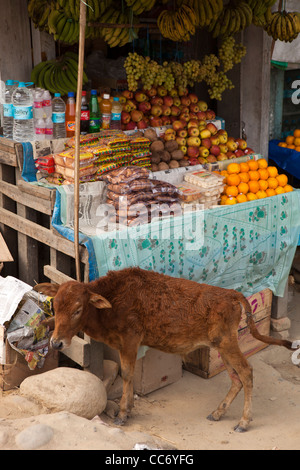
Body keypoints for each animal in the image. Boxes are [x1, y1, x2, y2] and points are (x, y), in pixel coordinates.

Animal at [35, 266, 296, 432]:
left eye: (78, 309)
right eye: (55, 307)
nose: (56, 343)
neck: (111, 304)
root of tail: (231, 294)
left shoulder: (130, 339)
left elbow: (127, 374)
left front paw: (123, 413)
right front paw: (128, 408)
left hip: (228, 343)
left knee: (246, 373)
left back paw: (244, 421)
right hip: (222, 345)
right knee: (235, 378)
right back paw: (218, 413)